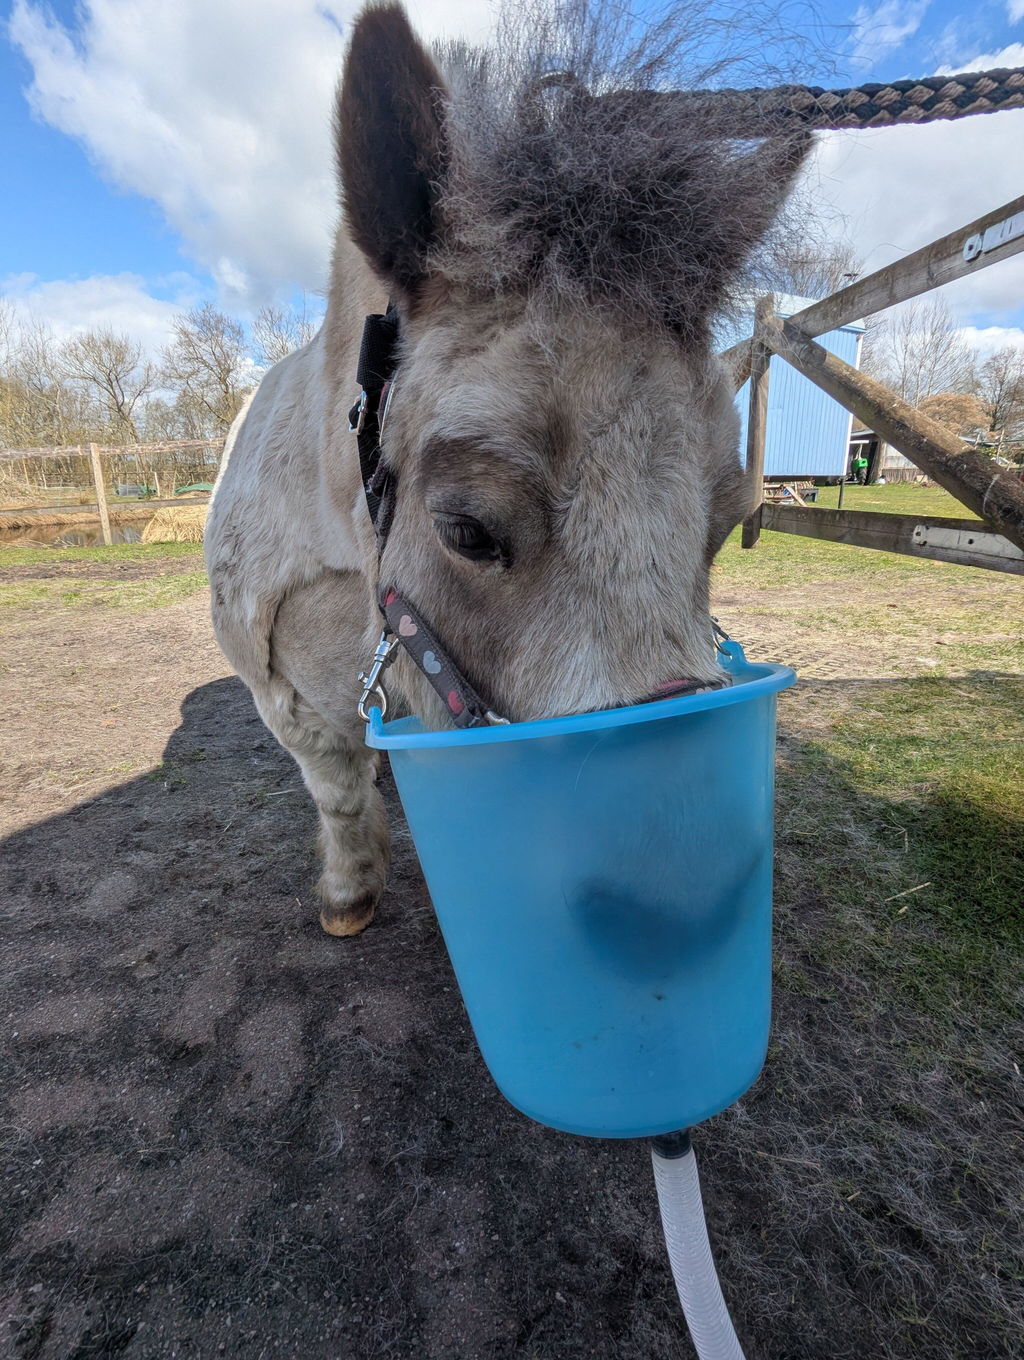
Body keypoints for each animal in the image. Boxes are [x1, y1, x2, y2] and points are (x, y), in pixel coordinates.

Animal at [205, 0, 811, 936]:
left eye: (721, 525)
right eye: (466, 529)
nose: (683, 898)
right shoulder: (282, 698)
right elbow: (336, 789)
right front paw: (349, 892)